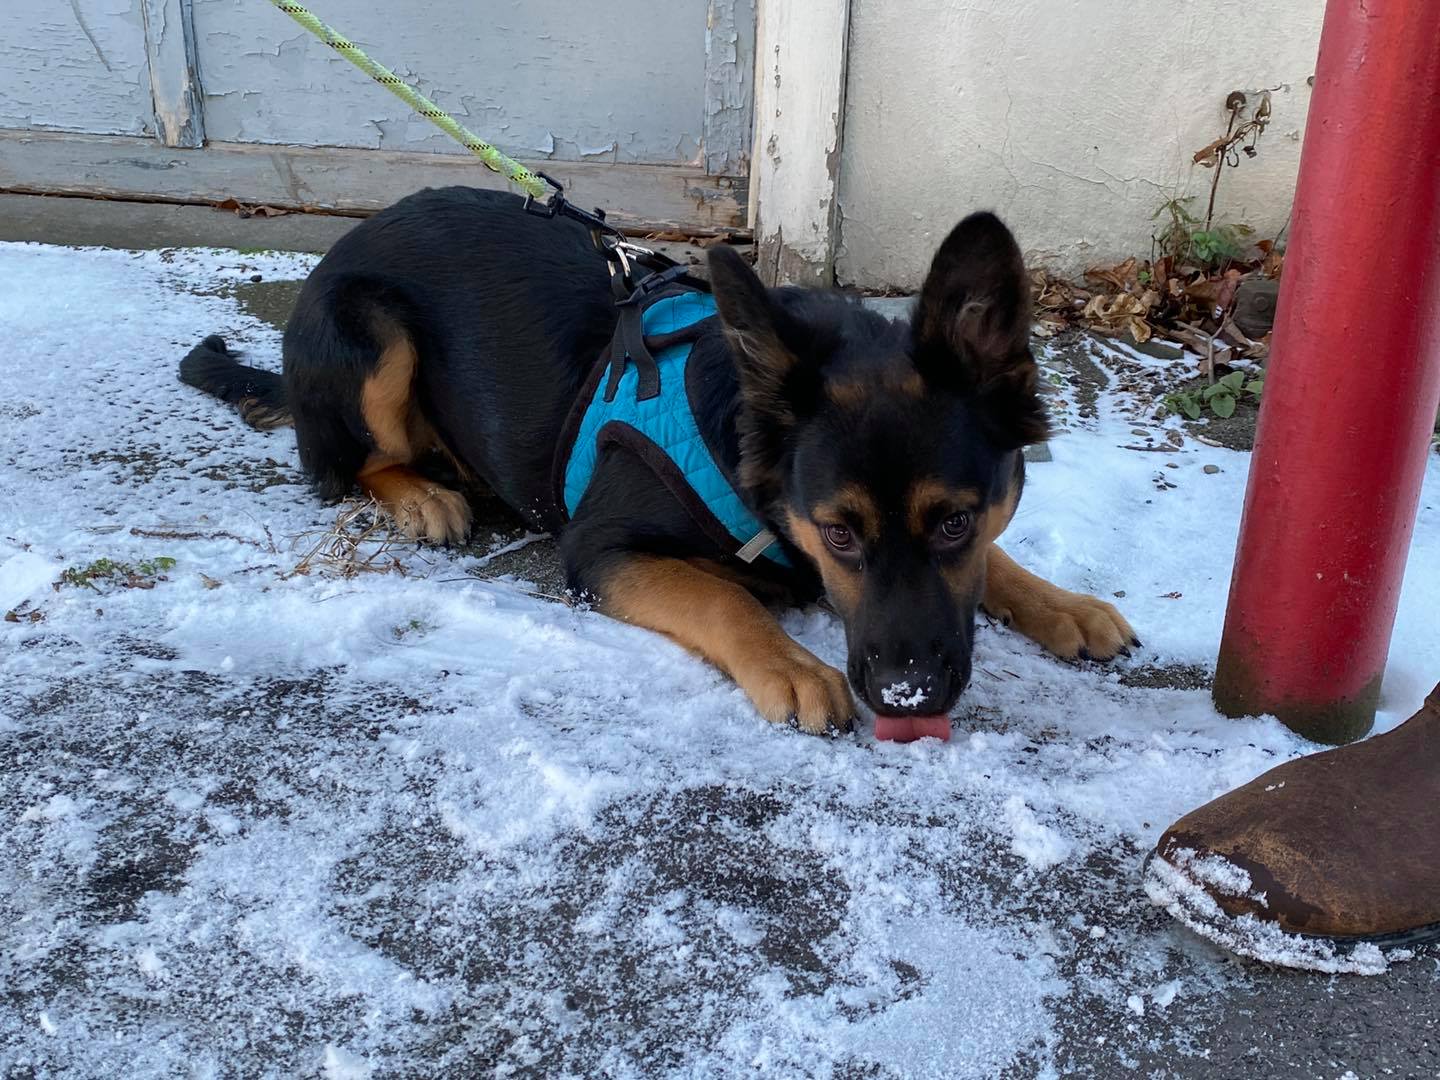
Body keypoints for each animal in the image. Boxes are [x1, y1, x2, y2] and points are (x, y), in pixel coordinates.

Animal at [180, 190, 1128, 743]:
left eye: (958, 521)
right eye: (837, 534)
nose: (908, 699)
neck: (743, 442)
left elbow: (999, 562)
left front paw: (1062, 604)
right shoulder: (601, 550)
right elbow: (717, 597)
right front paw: (788, 663)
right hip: (375, 331)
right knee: (347, 466)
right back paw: (419, 494)